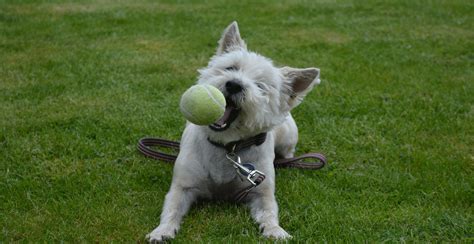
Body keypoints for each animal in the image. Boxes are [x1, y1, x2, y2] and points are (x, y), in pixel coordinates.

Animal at [146, 21, 320, 242]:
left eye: (261, 86)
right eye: (231, 67)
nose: (234, 84)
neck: (227, 147)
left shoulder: (261, 191)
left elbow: (269, 212)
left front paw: (275, 231)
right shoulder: (182, 187)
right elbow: (171, 209)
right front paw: (161, 231)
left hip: (288, 136)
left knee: (288, 152)